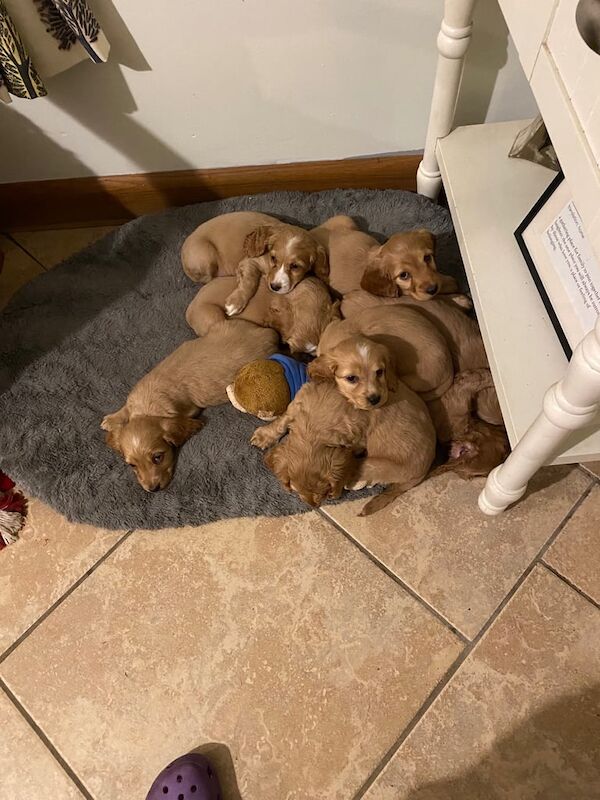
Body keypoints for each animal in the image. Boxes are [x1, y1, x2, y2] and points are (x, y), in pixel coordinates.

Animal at [102, 318, 278, 488]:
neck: (146, 408)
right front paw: (111, 419)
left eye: (158, 457)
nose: (153, 489)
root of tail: (267, 334)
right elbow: (125, 410)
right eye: (132, 465)